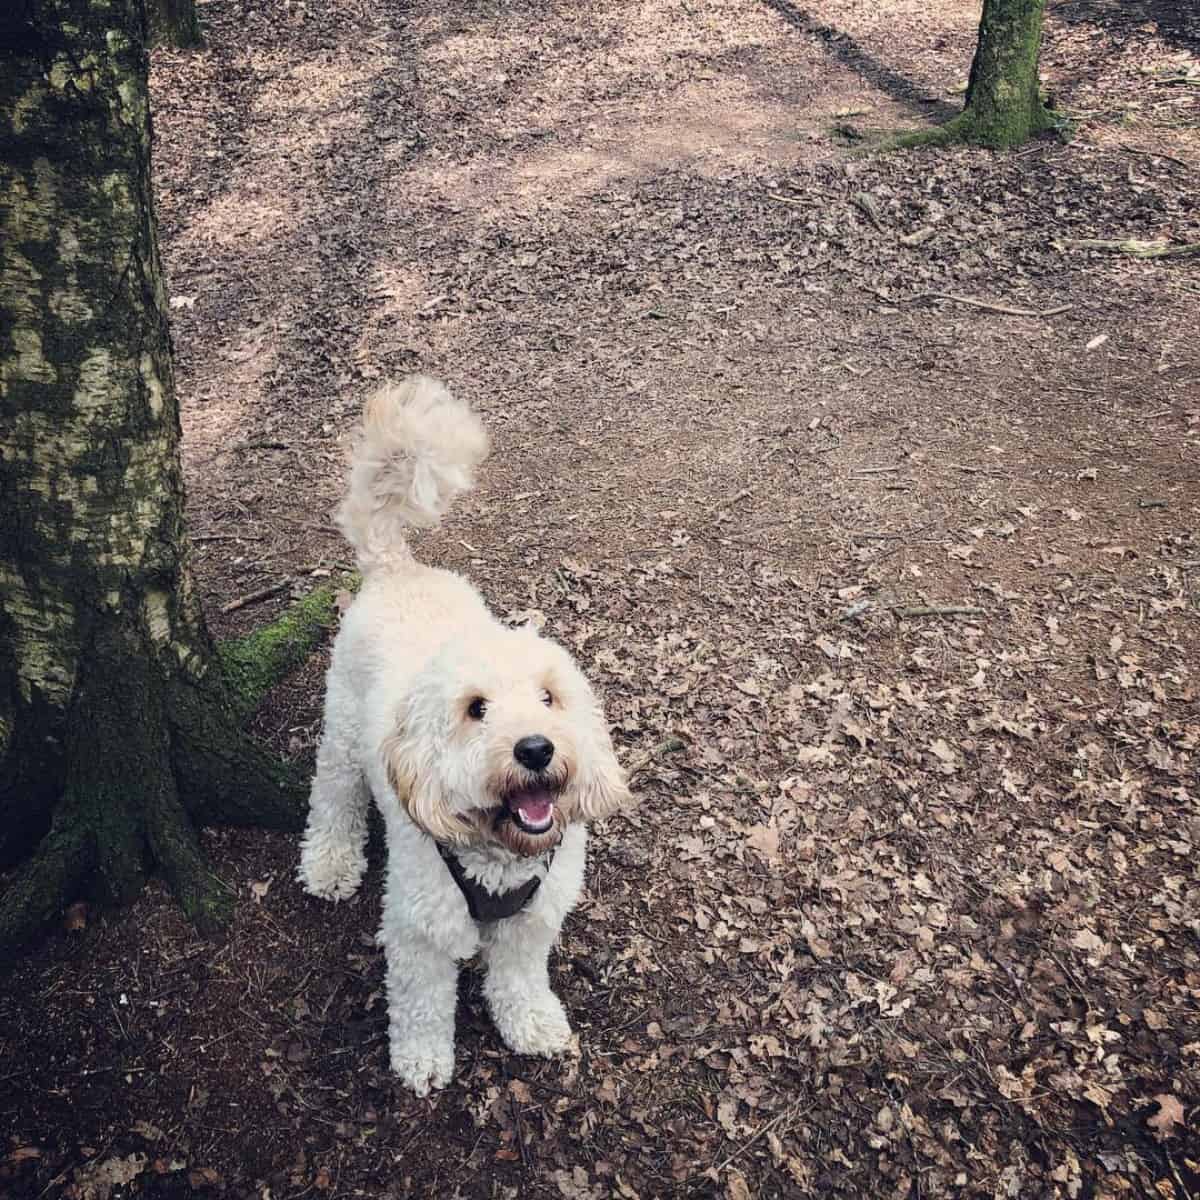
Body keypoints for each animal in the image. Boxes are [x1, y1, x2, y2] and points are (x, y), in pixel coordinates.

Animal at [300, 374, 633, 1099]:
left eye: (549, 697)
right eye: (476, 709)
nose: (536, 748)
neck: (499, 855)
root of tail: (398, 568)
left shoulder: (535, 920)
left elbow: (519, 976)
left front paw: (531, 1021)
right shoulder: (420, 927)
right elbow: (423, 1001)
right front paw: (423, 1061)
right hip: (341, 734)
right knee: (332, 798)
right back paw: (329, 864)